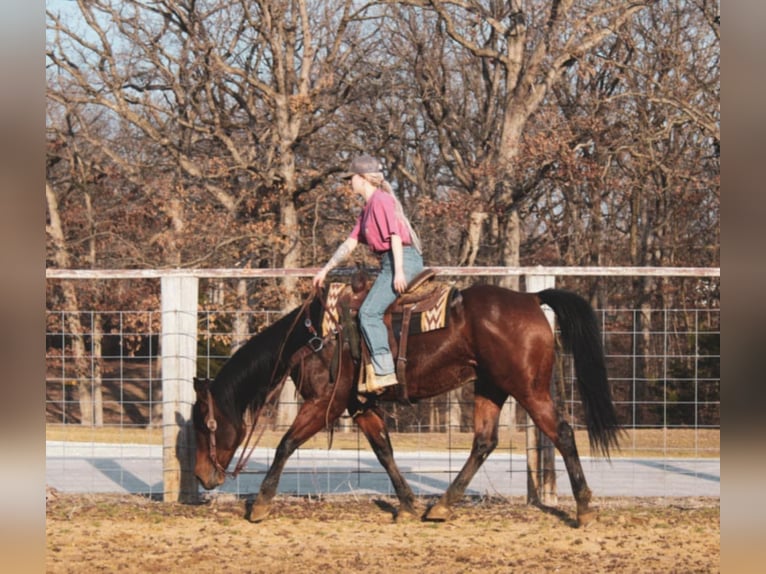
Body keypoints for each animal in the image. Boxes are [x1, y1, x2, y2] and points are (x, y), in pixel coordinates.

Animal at [194, 276, 624, 528]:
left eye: (204, 422)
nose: (201, 477)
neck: (315, 336)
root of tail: (532, 299)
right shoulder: (360, 405)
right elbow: (383, 450)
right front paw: (406, 503)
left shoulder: (324, 402)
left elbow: (286, 444)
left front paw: (261, 504)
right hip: (490, 387)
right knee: (484, 442)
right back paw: (442, 506)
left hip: (528, 389)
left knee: (563, 433)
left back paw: (584, 509)